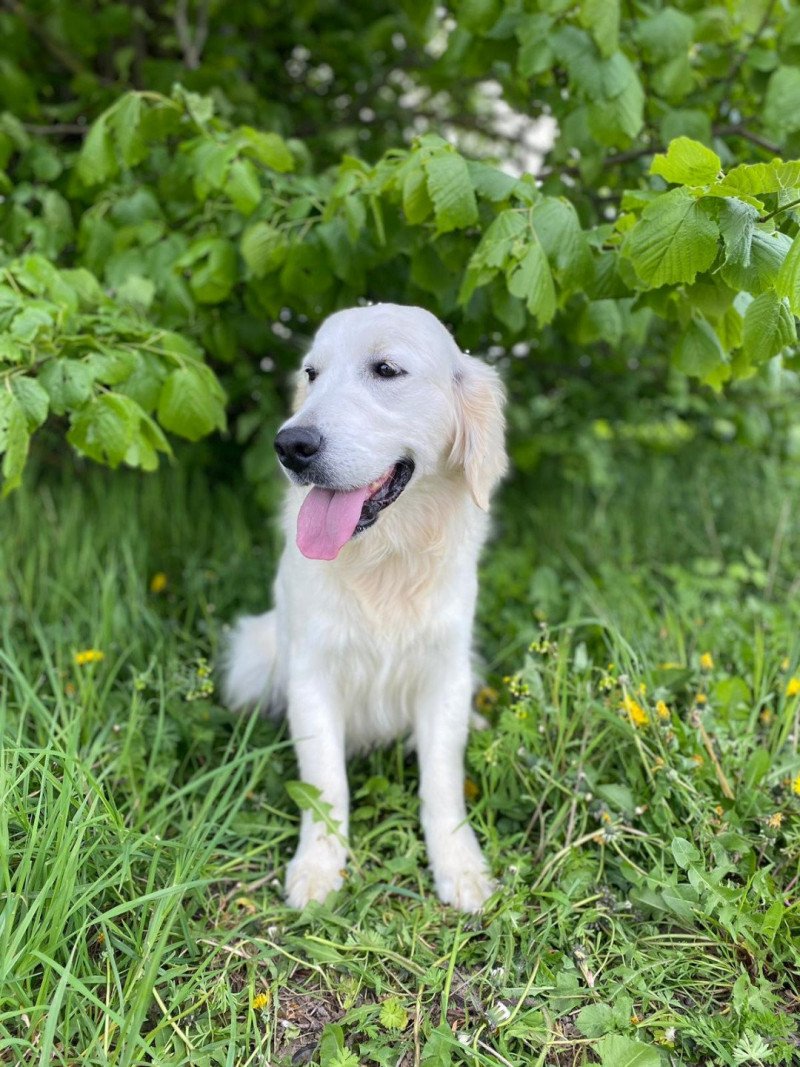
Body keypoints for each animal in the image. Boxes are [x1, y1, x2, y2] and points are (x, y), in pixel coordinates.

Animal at [222, 300, 507, 909]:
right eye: (311, 374)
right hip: (258, 652)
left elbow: (442, 781)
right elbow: (326, 783)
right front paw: (318, 866)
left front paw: (459, 865)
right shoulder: (312, 676)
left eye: (386, 370)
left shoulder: (444, 671)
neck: (385, 559)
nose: (291, 445)